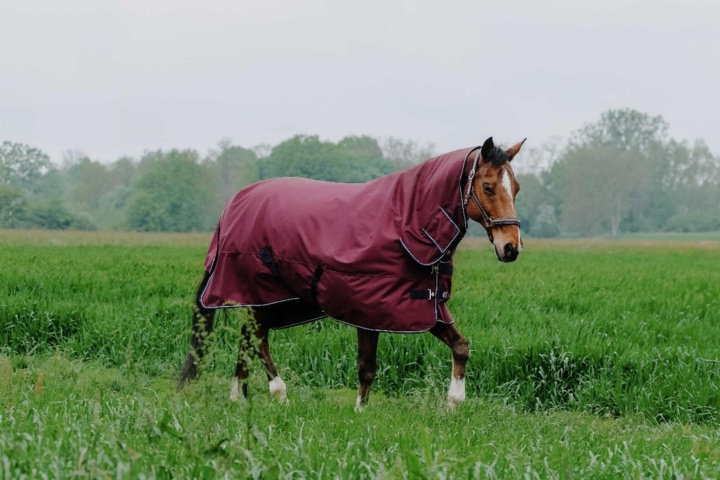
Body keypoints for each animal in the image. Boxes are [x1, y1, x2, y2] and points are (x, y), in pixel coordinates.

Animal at [179, 136, 525, 409]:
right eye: (488, 187)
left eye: (517, 188)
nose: (511, 247)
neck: (407, 222)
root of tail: (232, 205)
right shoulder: (368, 309)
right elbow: (367, 367)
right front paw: (360, 412)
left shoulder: (425, 307)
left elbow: (461, 346)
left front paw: (454, 403)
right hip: (259, 292)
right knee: (258, 340)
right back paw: (278, 393)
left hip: (265, 300)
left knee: (249, 339)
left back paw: (239, 397)